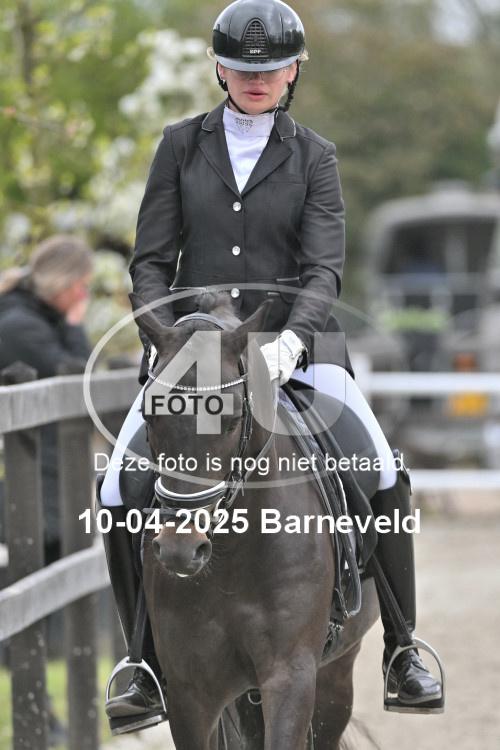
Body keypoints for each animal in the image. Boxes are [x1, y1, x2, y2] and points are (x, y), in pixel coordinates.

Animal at [131, 291, 379, 750]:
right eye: (150, 417)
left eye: (230, 421)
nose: (180, 550)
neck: (233, 553)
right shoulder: (190, 692)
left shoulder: (291, 675)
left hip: (335, 675)